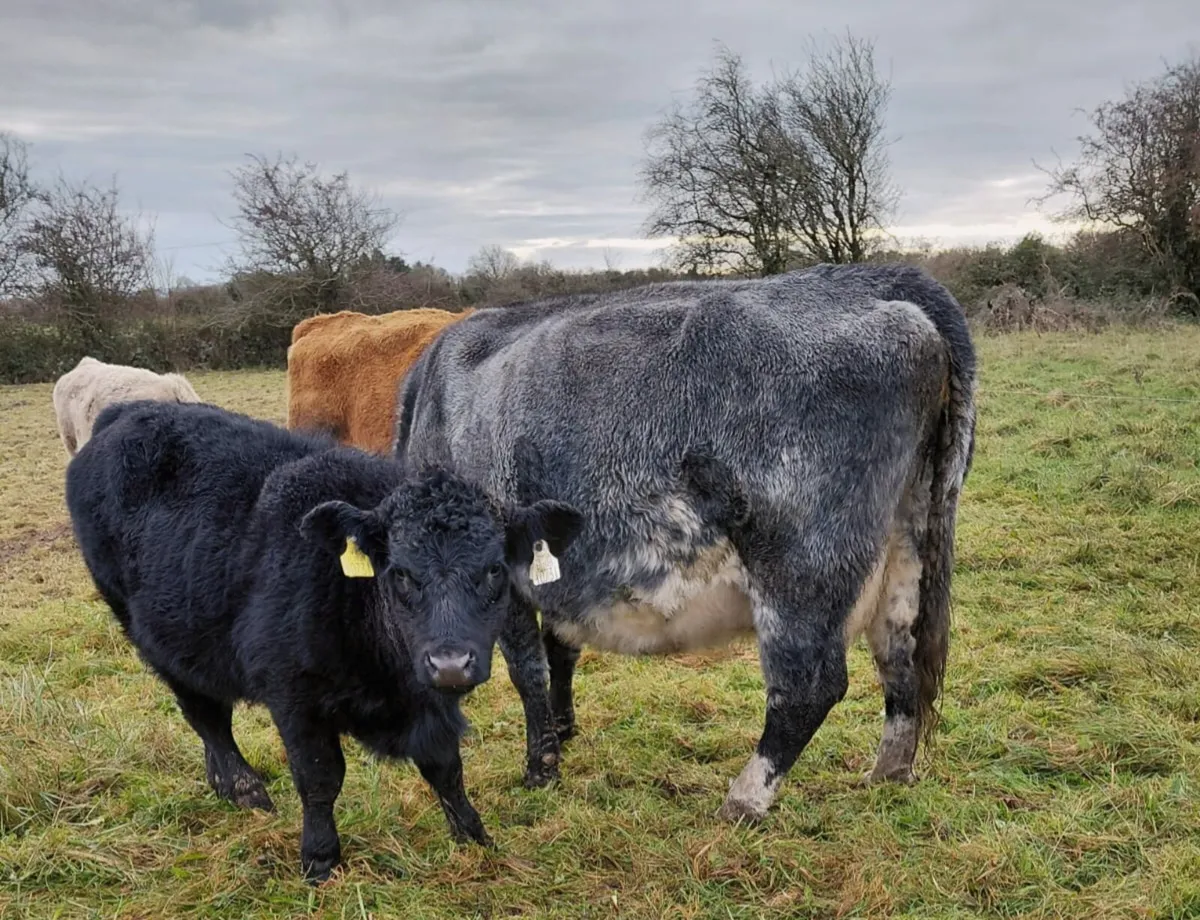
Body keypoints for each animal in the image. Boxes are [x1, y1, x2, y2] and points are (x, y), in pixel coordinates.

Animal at [64, 399, 583, 881]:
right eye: (399, 573)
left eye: (494, 568)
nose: (450, 662)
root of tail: (128, 411)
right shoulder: (293, 698)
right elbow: (319, 778)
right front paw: (319, 858)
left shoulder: (429, 702)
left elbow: (446, 769)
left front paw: (475, 837)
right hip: (150, 634)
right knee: (206, 715)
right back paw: (244, 787)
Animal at [392, 263, 977, 823]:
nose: (443, 667)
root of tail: (871, 280)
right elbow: (560, 651)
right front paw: (563, 731)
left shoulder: (507, 577)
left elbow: (528, 669)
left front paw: (541, 768)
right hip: (908, 542)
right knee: (899, 658)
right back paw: (889, 773)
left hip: (802, 567)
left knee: (808, 687)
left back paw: (743, 801)